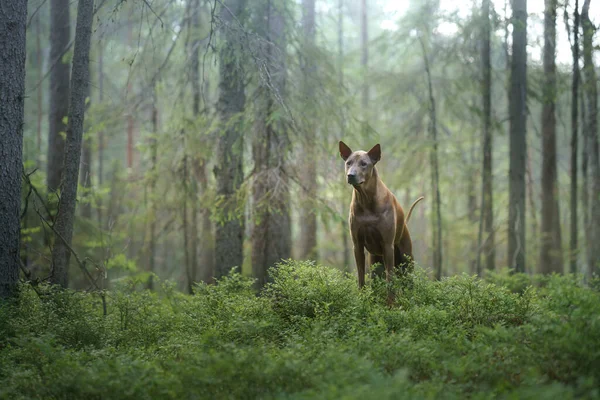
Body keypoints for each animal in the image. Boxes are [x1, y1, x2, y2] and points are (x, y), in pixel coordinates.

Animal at [340, 141, 424, 296]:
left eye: (364, 164)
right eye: (348, 163)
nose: (350, 175)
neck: (366, 200)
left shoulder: (387, 245)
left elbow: (390, 281)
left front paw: (391, 301)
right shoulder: (357, 246)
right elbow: (361, 278)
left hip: (406, 262)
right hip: (375, 263)